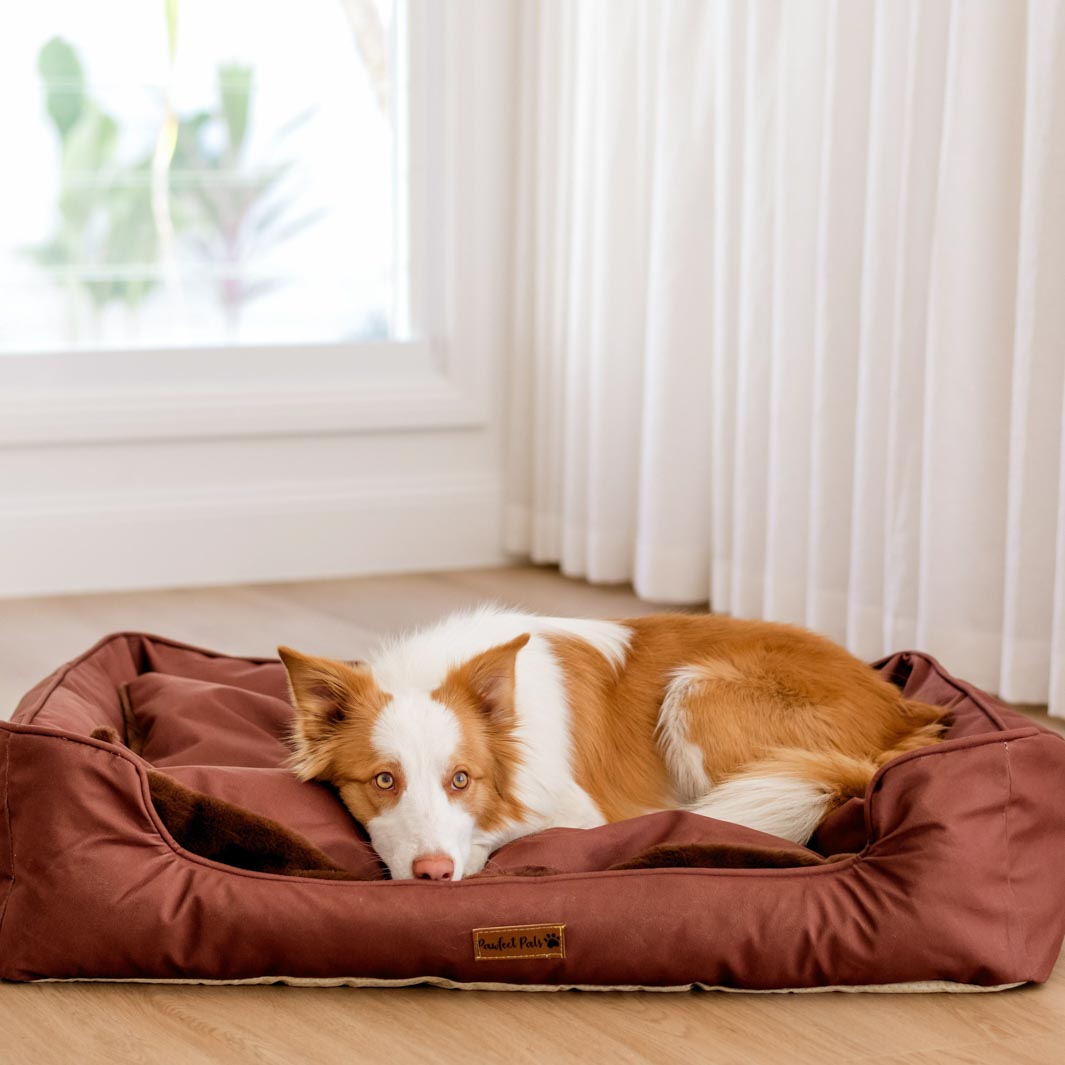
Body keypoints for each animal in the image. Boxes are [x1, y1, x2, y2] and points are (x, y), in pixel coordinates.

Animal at [279, 609, 945, 881]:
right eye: (383, 780)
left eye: (461, 779)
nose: (432, 874)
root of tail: (902, 707)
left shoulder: (581, 810)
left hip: (697, 691)